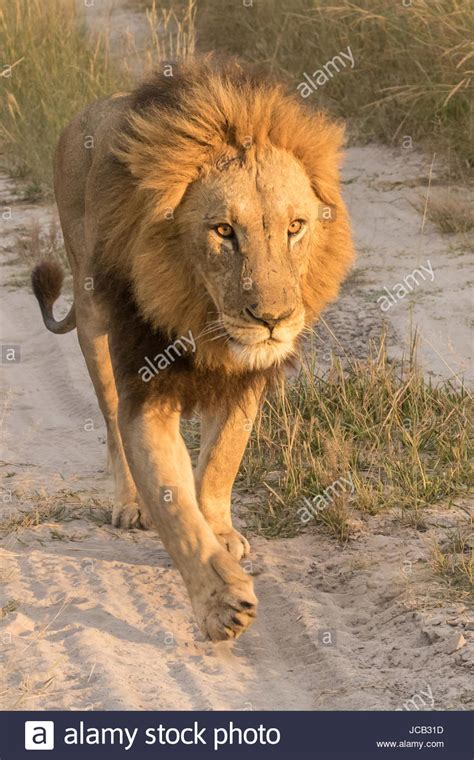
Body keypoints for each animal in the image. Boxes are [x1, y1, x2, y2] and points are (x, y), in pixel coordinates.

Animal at [31, 58, 354, 640]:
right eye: (223, 231)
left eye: (295, 227)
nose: (272, 321)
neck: (205, 323)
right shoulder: (147, 390)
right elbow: (173, 501)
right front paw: (220, 601)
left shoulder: (246, 383)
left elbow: (222, 460)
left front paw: (220, 532)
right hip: (92, 317)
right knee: (109, 418)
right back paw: (128, 505)